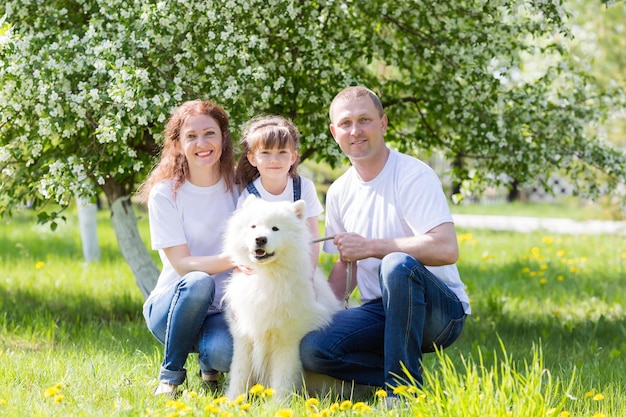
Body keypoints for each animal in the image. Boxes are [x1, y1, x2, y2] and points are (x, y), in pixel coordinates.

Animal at [223, 197, 342, 398]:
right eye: (253, 226)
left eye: (275, 228)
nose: (260, 239)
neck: (266, 277)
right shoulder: (244, 337)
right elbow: (239, 374)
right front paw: (232, 401)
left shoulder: (288, 341)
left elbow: (283, 377)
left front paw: (279, 402)